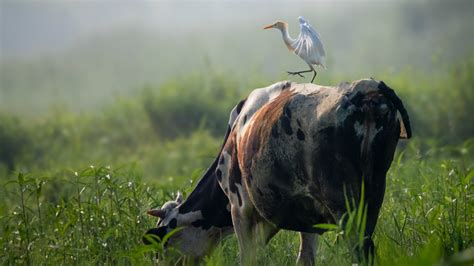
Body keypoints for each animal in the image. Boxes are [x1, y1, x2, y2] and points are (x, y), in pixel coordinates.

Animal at [143, 78, 412, 264]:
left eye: (162, 245)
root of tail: (366, 88)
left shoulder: (240, 206)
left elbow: (248, 258)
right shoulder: (301, 214)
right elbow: (304, 258)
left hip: (343, 201)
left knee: (360, 250)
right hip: (373, 196)